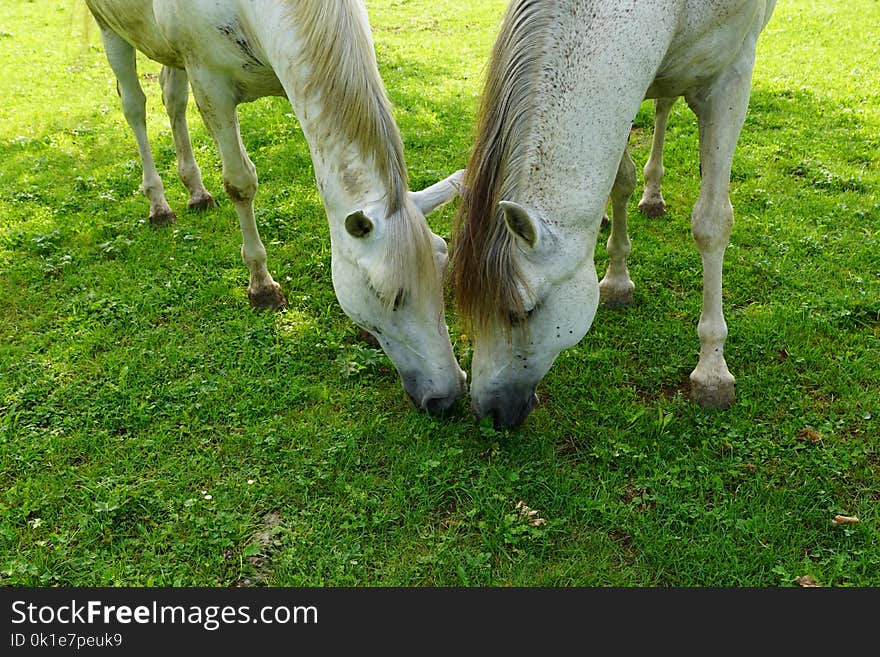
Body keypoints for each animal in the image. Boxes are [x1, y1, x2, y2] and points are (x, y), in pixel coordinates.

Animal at [82, 0, 468, 410]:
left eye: (443, 265)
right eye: (389, 296)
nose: (448, 394)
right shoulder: (211, 88)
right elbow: (241, 184)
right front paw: (262, 287)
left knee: (172, 97)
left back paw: (196, 191)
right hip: (110, 29)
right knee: (134, 105)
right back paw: (159, 204)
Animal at [454, 0, 776, 428]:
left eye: (520, 313)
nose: (487, 410)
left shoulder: (732, 78)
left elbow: (711, 224)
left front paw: (712, 372)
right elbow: (620, 181)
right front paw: (617, 281)